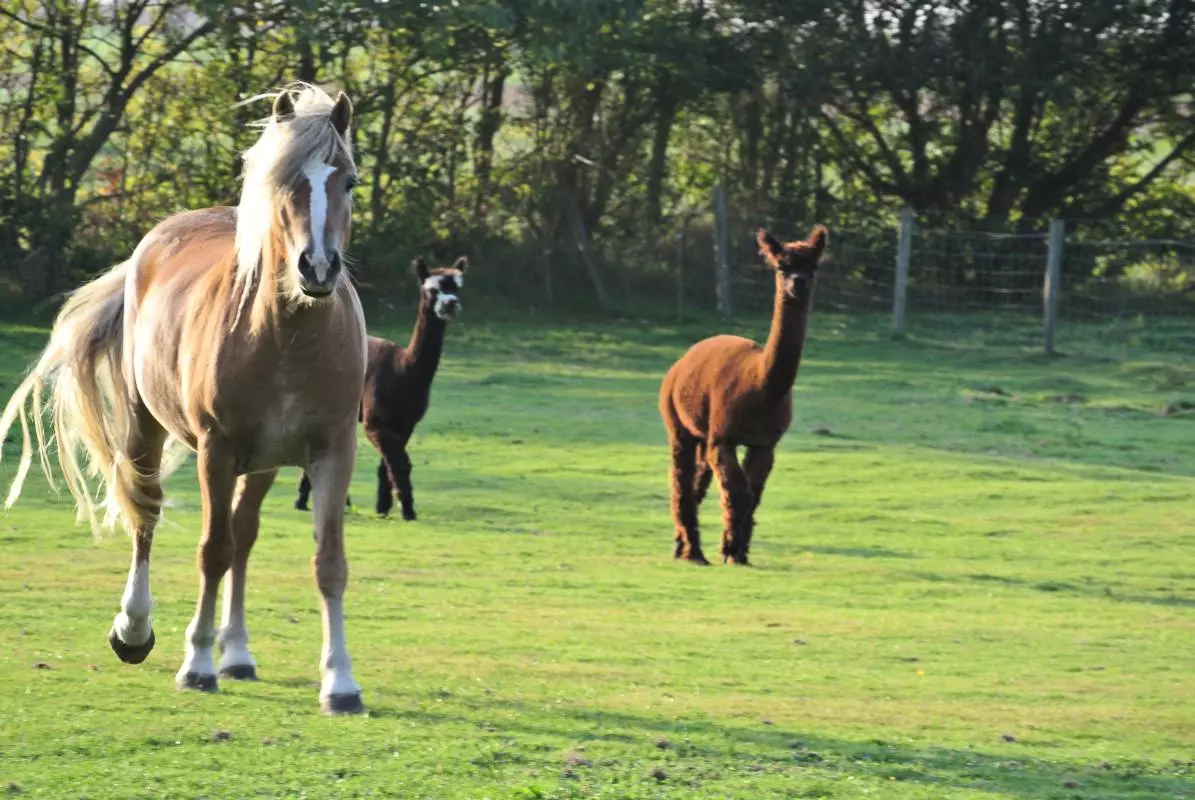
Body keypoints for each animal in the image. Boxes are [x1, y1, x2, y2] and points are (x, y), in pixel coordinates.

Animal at [0, 84, 369, 714]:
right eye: (283, 183)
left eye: (347, 181)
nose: (317, 268)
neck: (288, 335)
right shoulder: (216, 452)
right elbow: (211, 550)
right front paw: (196, 664)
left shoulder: (332, 451)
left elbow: (328, 562)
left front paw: (340, 682)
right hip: (146, 428)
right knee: (147, 515)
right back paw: (134, 630)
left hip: (264, 463)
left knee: (245, 536)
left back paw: (238, 653)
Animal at [659, 224, 827, 565]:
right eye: (782, 266)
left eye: (813, 266)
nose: (798, 283)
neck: (761, 386)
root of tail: (682, 360)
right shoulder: (723, 437)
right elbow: (737, 492)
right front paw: (730, 552)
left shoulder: (765, 442)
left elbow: (753, 494)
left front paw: (738, 550)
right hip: (677, 420)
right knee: (680, 480)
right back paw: (693, 552)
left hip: (704, 431)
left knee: (697, 481)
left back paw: (683, 545)